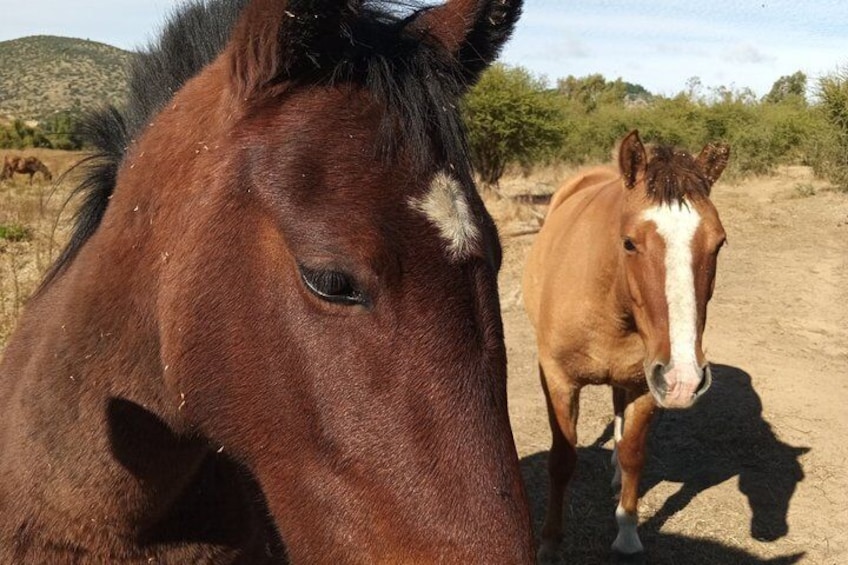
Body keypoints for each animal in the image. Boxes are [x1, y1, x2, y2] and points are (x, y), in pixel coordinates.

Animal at [522, 130, 730, 559]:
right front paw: (549, 543)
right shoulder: (558, 381)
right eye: (630, 243)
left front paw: (628, 532)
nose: (685, 379)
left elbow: (635, 455)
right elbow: (561, 459)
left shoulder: (646, 385)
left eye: (719, 243)